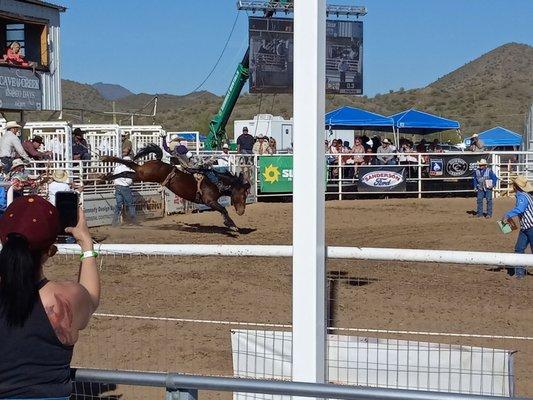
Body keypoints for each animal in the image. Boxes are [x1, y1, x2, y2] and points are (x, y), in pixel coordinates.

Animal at [101, 145, 250, 230]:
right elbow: (223, 209)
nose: (241, 212)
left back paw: (105, 174)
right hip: (144, 174)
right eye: (243, 195)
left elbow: (222, 210)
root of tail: (158, 161)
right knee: (129, 165)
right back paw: (106, 160)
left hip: (141, 174)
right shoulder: (209, 201)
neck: (216, 182)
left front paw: (229, 224)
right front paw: (232, 226)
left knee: (128, 170)